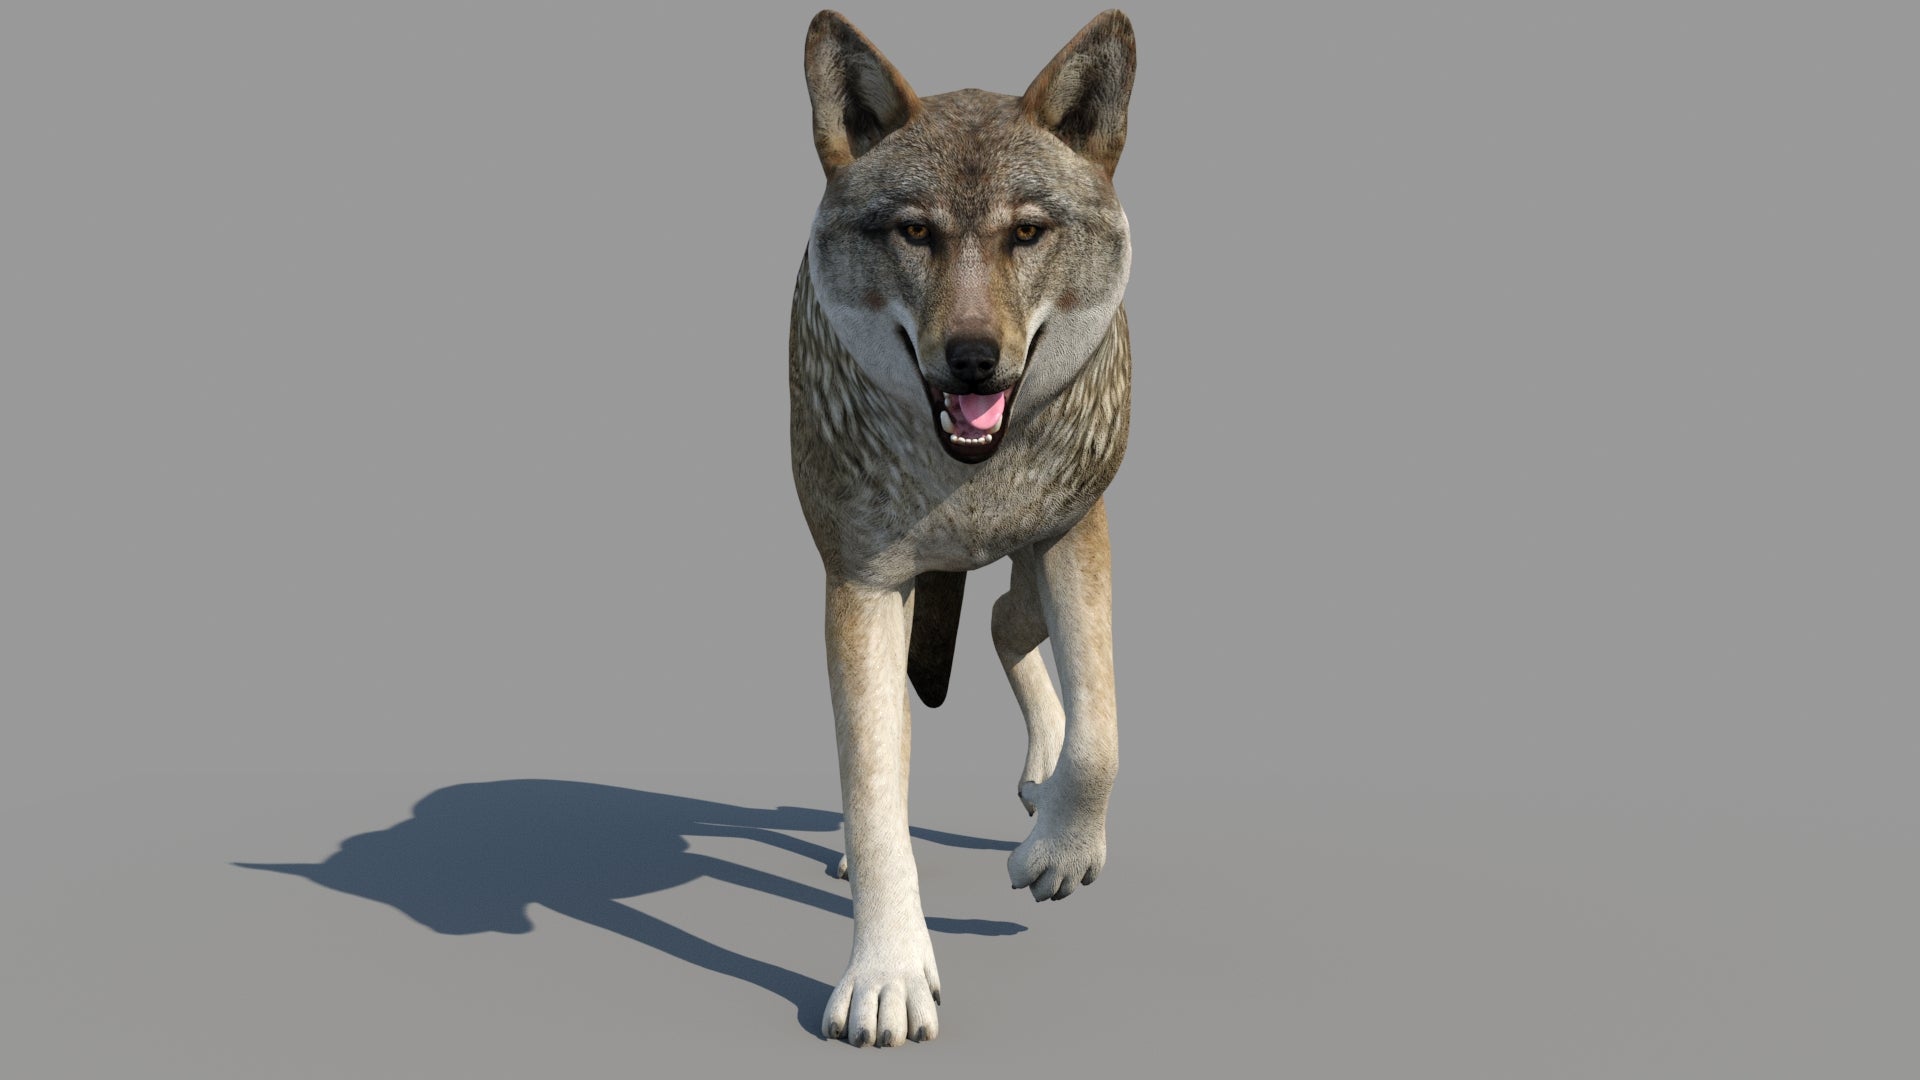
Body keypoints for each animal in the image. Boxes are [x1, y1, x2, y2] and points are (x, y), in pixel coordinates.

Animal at [790, 9, 1137, 1046]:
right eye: (916, 232)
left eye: (1026, 233)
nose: (976, 359)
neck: (965, 481)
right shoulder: (864, 580)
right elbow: (874, 789)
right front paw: (887, 976)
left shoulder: (1074, 531)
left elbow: (1103, 734)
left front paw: (1057, 850)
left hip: (1030, 562)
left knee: (1003, 624)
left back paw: (1039, 783)